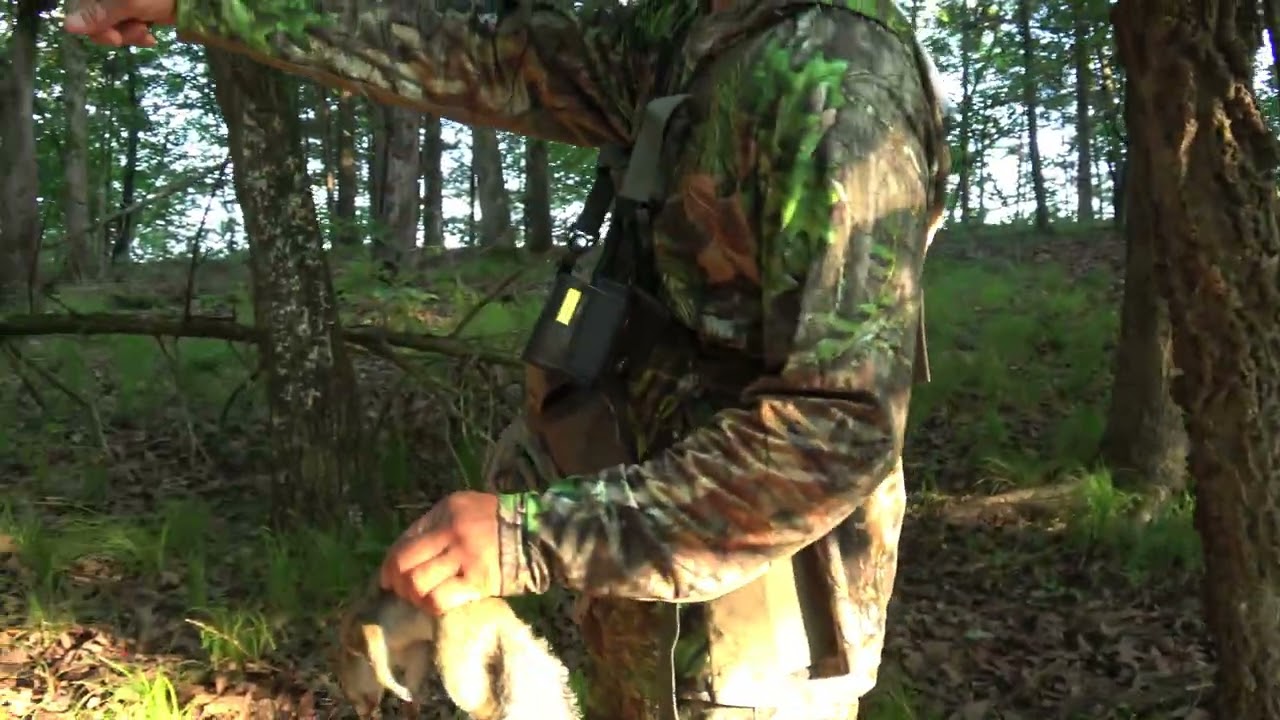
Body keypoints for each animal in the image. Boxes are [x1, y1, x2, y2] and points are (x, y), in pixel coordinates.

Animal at [332, 585, 581, 720]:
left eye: (353, 699)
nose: (364, 714)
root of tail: (500, 619)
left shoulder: (369, 634)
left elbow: (385, 674)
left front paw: (398, 690)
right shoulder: (418, 655)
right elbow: (411, 697)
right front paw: (408, 702)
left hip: (460, 681)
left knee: (491, 709)